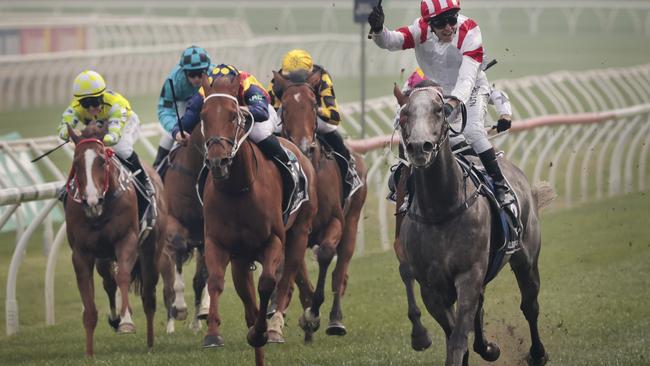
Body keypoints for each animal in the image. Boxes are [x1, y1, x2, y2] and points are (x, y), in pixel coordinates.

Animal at [64, 122, 167, 354]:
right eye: (76, 162)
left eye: (102, 160)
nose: (92, 201)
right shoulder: (81, 253)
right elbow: (89, 304)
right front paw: (89, 353)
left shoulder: (126, 241)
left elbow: (124, 277)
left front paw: (127, 321)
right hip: (103, 257)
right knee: (108, 281)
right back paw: (114, 317)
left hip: (151, 252)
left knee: (148, 297)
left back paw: (149, 343)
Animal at [200, 72, 316, 364]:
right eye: (203, 116)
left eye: (233, 116)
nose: (217, 162)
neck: (238, 189)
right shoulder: (218, 243)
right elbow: (216, 281)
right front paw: (213, 333)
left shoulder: (274, 240)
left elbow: (267, 284)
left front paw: (263, 330)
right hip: (242, 256)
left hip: (299, 233)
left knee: (286, 278)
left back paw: (274, 326)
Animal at [268, 71, 368, 344]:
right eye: (285, 107)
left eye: (314, 105)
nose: (304, 146)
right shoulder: (295, 229)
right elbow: (297, 274)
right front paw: (304, 316)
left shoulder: (335, 221)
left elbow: (325, 254)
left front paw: (313, 314)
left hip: (352, 221)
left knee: (340, 273)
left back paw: (335, 320)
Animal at [392, 81, 556, 366]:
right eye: (404, 115)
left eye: (439, 110)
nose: (420, 147)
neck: (440, 210)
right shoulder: (430, 288)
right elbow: (454, 334)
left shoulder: (469, 275)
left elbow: (459, 339)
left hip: (526, 258)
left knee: (529, 305)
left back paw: (537, 353)